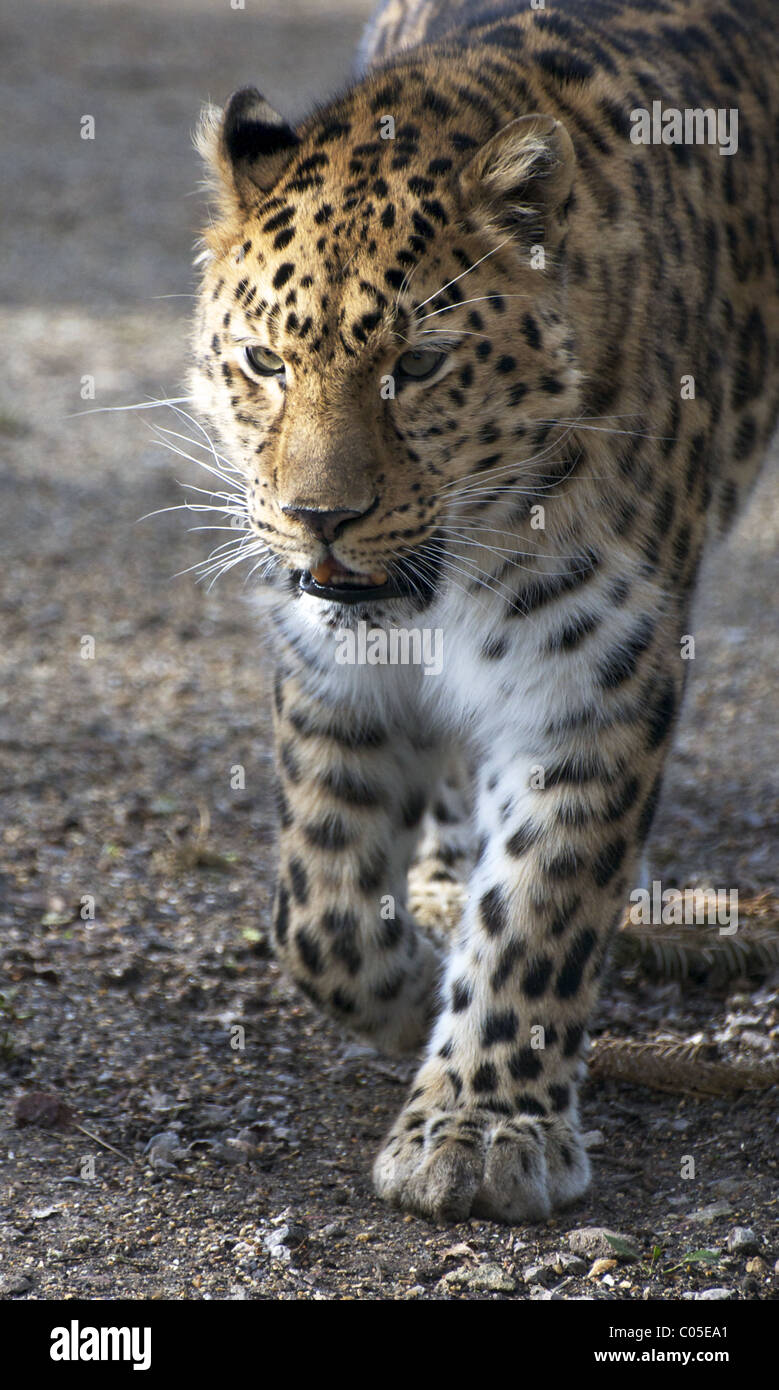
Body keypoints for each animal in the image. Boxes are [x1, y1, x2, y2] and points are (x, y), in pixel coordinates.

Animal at [189, 0, 779, 1223]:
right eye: (265, 360)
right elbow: (314, 910)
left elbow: (541, 907)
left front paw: (481, 1124)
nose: (319, 517)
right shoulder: (328, 669)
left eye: (417, 365)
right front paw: (410, 989)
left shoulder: (590, 676)